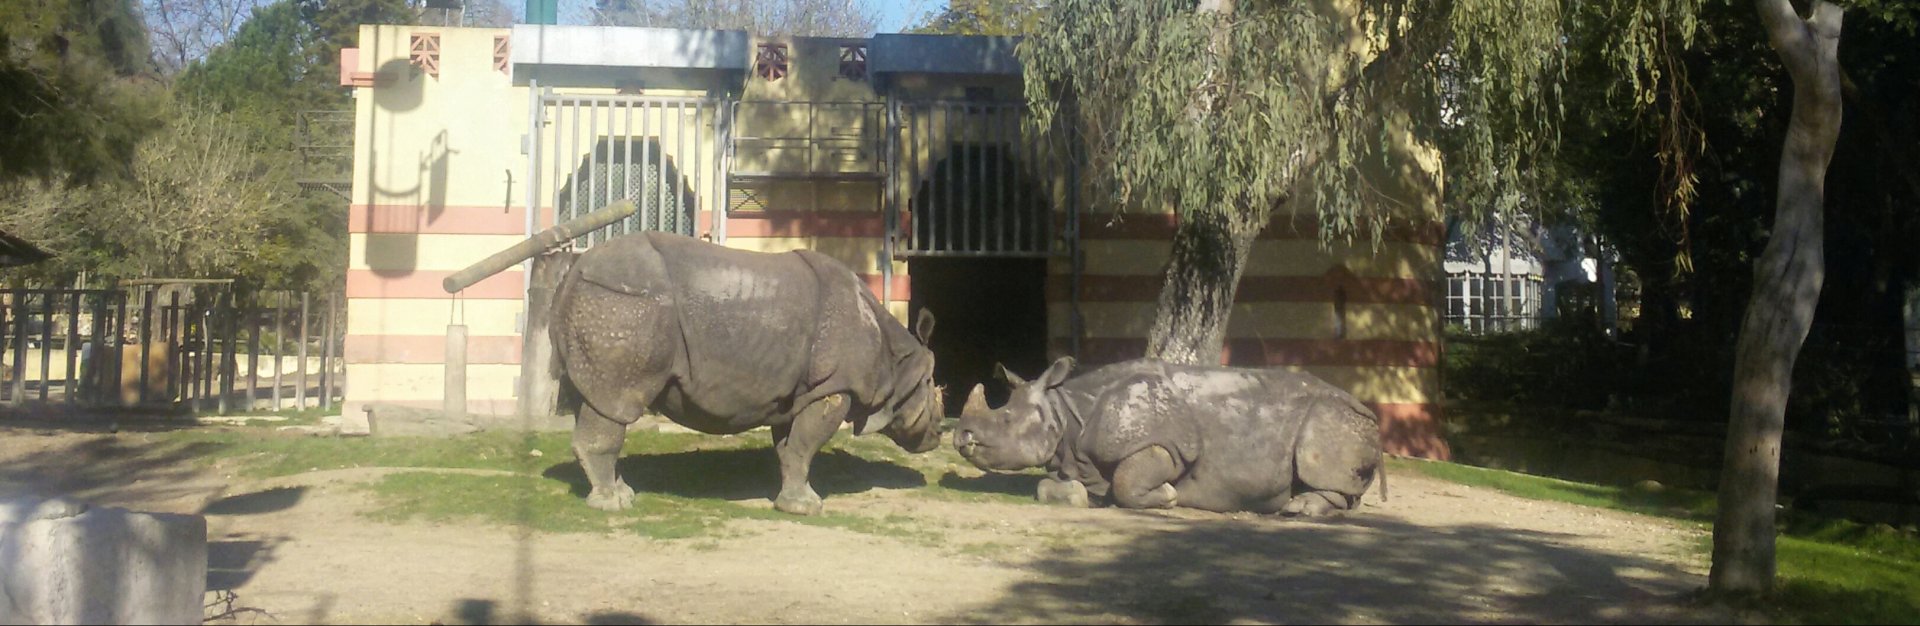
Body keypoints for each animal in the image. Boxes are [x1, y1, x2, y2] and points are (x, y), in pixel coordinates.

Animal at [551, 231, 944, 515]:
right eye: (933, 391)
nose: (939, 433)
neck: (897, 359)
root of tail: (572, 272)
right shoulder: (835, 386)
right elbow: (806, 444)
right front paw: (809, 509)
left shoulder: (800, 391)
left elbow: (793, 448)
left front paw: (794, 502)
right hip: (623, 302)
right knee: (617, 403)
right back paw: (612, 505)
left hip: (603, 300)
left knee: (590, 399)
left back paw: (622, 492)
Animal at [952, 357, 1386, 515]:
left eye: (1006, 419)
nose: (961, 437)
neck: (1067, 411)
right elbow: (1053, 485)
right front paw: (1080, 494)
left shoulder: (1167, 444)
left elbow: (1130, 481)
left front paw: (1169, 497)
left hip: (1334, 416)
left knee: (1318, 458)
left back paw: (1299, 509)